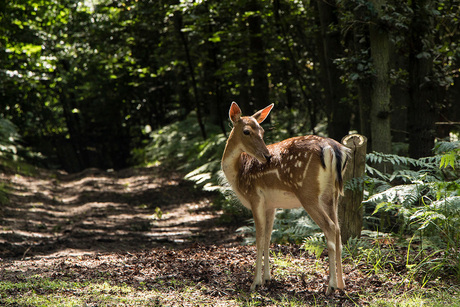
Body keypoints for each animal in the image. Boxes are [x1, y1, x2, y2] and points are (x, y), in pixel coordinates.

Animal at [221, 102, 350, 294]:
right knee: (339, 230)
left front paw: (255, 283)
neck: (238, 172)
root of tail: (332, 149)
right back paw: (341, 284)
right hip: (332, 195)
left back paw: (330, 286)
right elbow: (268, 238)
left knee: (330, 227)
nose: (267, 156)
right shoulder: (271, 204)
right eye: (247, 131)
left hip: (308, 193)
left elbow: (259, 240)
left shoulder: (255, 197)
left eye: (262, 131)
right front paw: (267, 278)